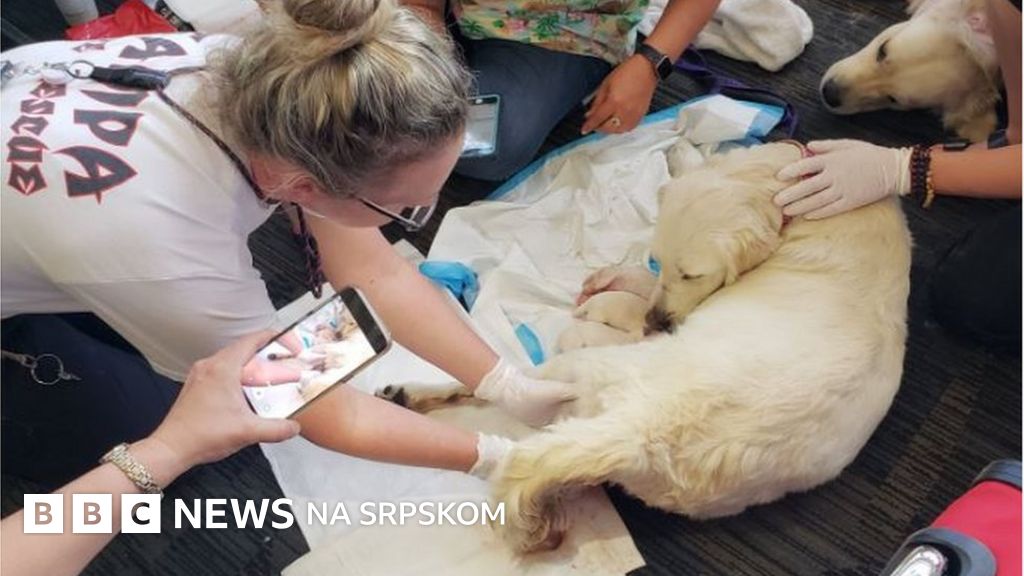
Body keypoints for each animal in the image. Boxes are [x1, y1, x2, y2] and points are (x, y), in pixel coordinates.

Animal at [382, 142, 912, 552]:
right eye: (664, 260)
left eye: (693, 273)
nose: (658, 323)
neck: (788, 182)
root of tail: (642, 431)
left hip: (579, 369)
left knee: (493, 387)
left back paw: (412, 393)